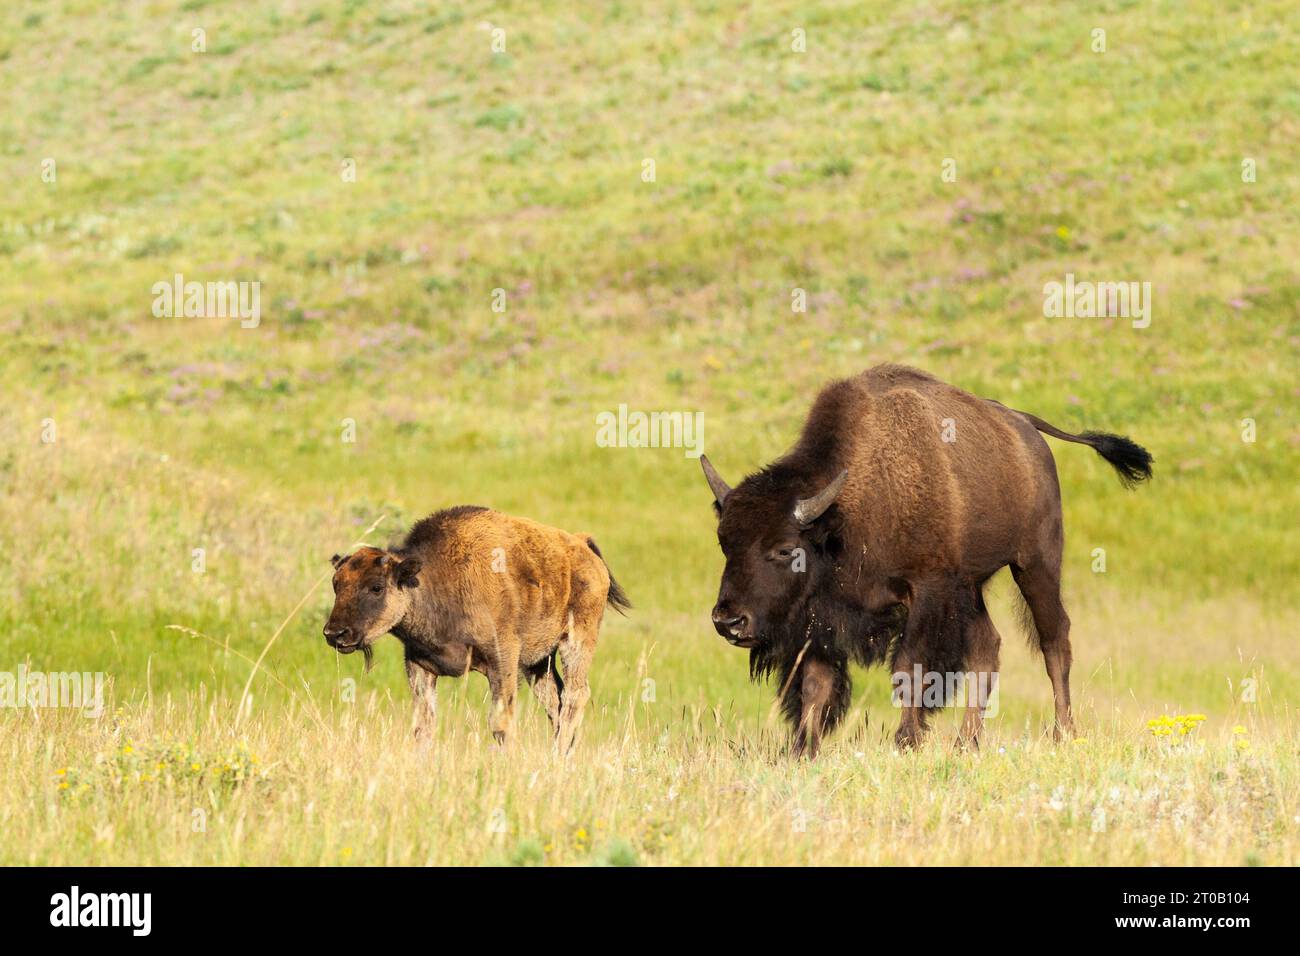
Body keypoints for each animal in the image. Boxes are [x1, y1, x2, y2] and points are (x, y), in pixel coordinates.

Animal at [325, 504, 629, 749]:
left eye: (376, 587)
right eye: (336, 584)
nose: (334, 633)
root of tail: (583, 547)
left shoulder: (502, 660)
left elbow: (501, 723)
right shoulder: (420, 666)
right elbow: (423, 726)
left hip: (575, 642)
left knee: (576, 695)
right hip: (538, 662)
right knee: (556, 700)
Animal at [702, 364, 1149, 754]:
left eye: (783, 549)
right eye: (724, 543)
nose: (728, 620)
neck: (843, 515)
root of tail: (1023, 426)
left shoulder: (926, 593)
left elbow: (910, 669)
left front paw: (906, 742)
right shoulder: (822, 615)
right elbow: (815, 682)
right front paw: (800, 750)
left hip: (1035, 564)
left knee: (1055, 641)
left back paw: (1064, 733)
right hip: (971, 587)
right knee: (988, 647)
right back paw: (966, 743)